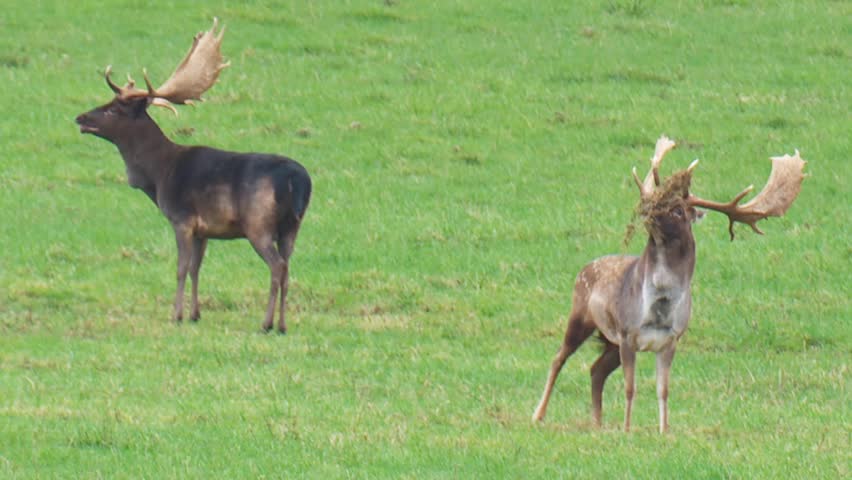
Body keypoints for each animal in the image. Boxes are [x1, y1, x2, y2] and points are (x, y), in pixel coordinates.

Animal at [75, 19, 312, 334]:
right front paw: (194, 314)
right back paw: (283, 325)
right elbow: (197, 268)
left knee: (277, 266)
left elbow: (181, 268)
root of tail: (297, 181)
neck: (158, 174)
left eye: (113, 109)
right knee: (288, 266)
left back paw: (266, 323)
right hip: (292, 226)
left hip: (258, 222)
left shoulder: (182, 218)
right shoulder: (204, 230)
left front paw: (175, 315)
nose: (80, 118)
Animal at [531, 136, 806, 433]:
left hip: (609, 341)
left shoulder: (671, 339)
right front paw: (627, 430)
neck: (659, 309)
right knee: (558, 358)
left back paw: (597, 423)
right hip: (581, 316)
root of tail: (584, 268)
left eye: (677, 210)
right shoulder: (628, 334)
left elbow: (663, 390)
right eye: (652, 198)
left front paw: (664, 431)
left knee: (596, 370)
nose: (646, 209)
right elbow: (630, 388)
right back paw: (539, 414)